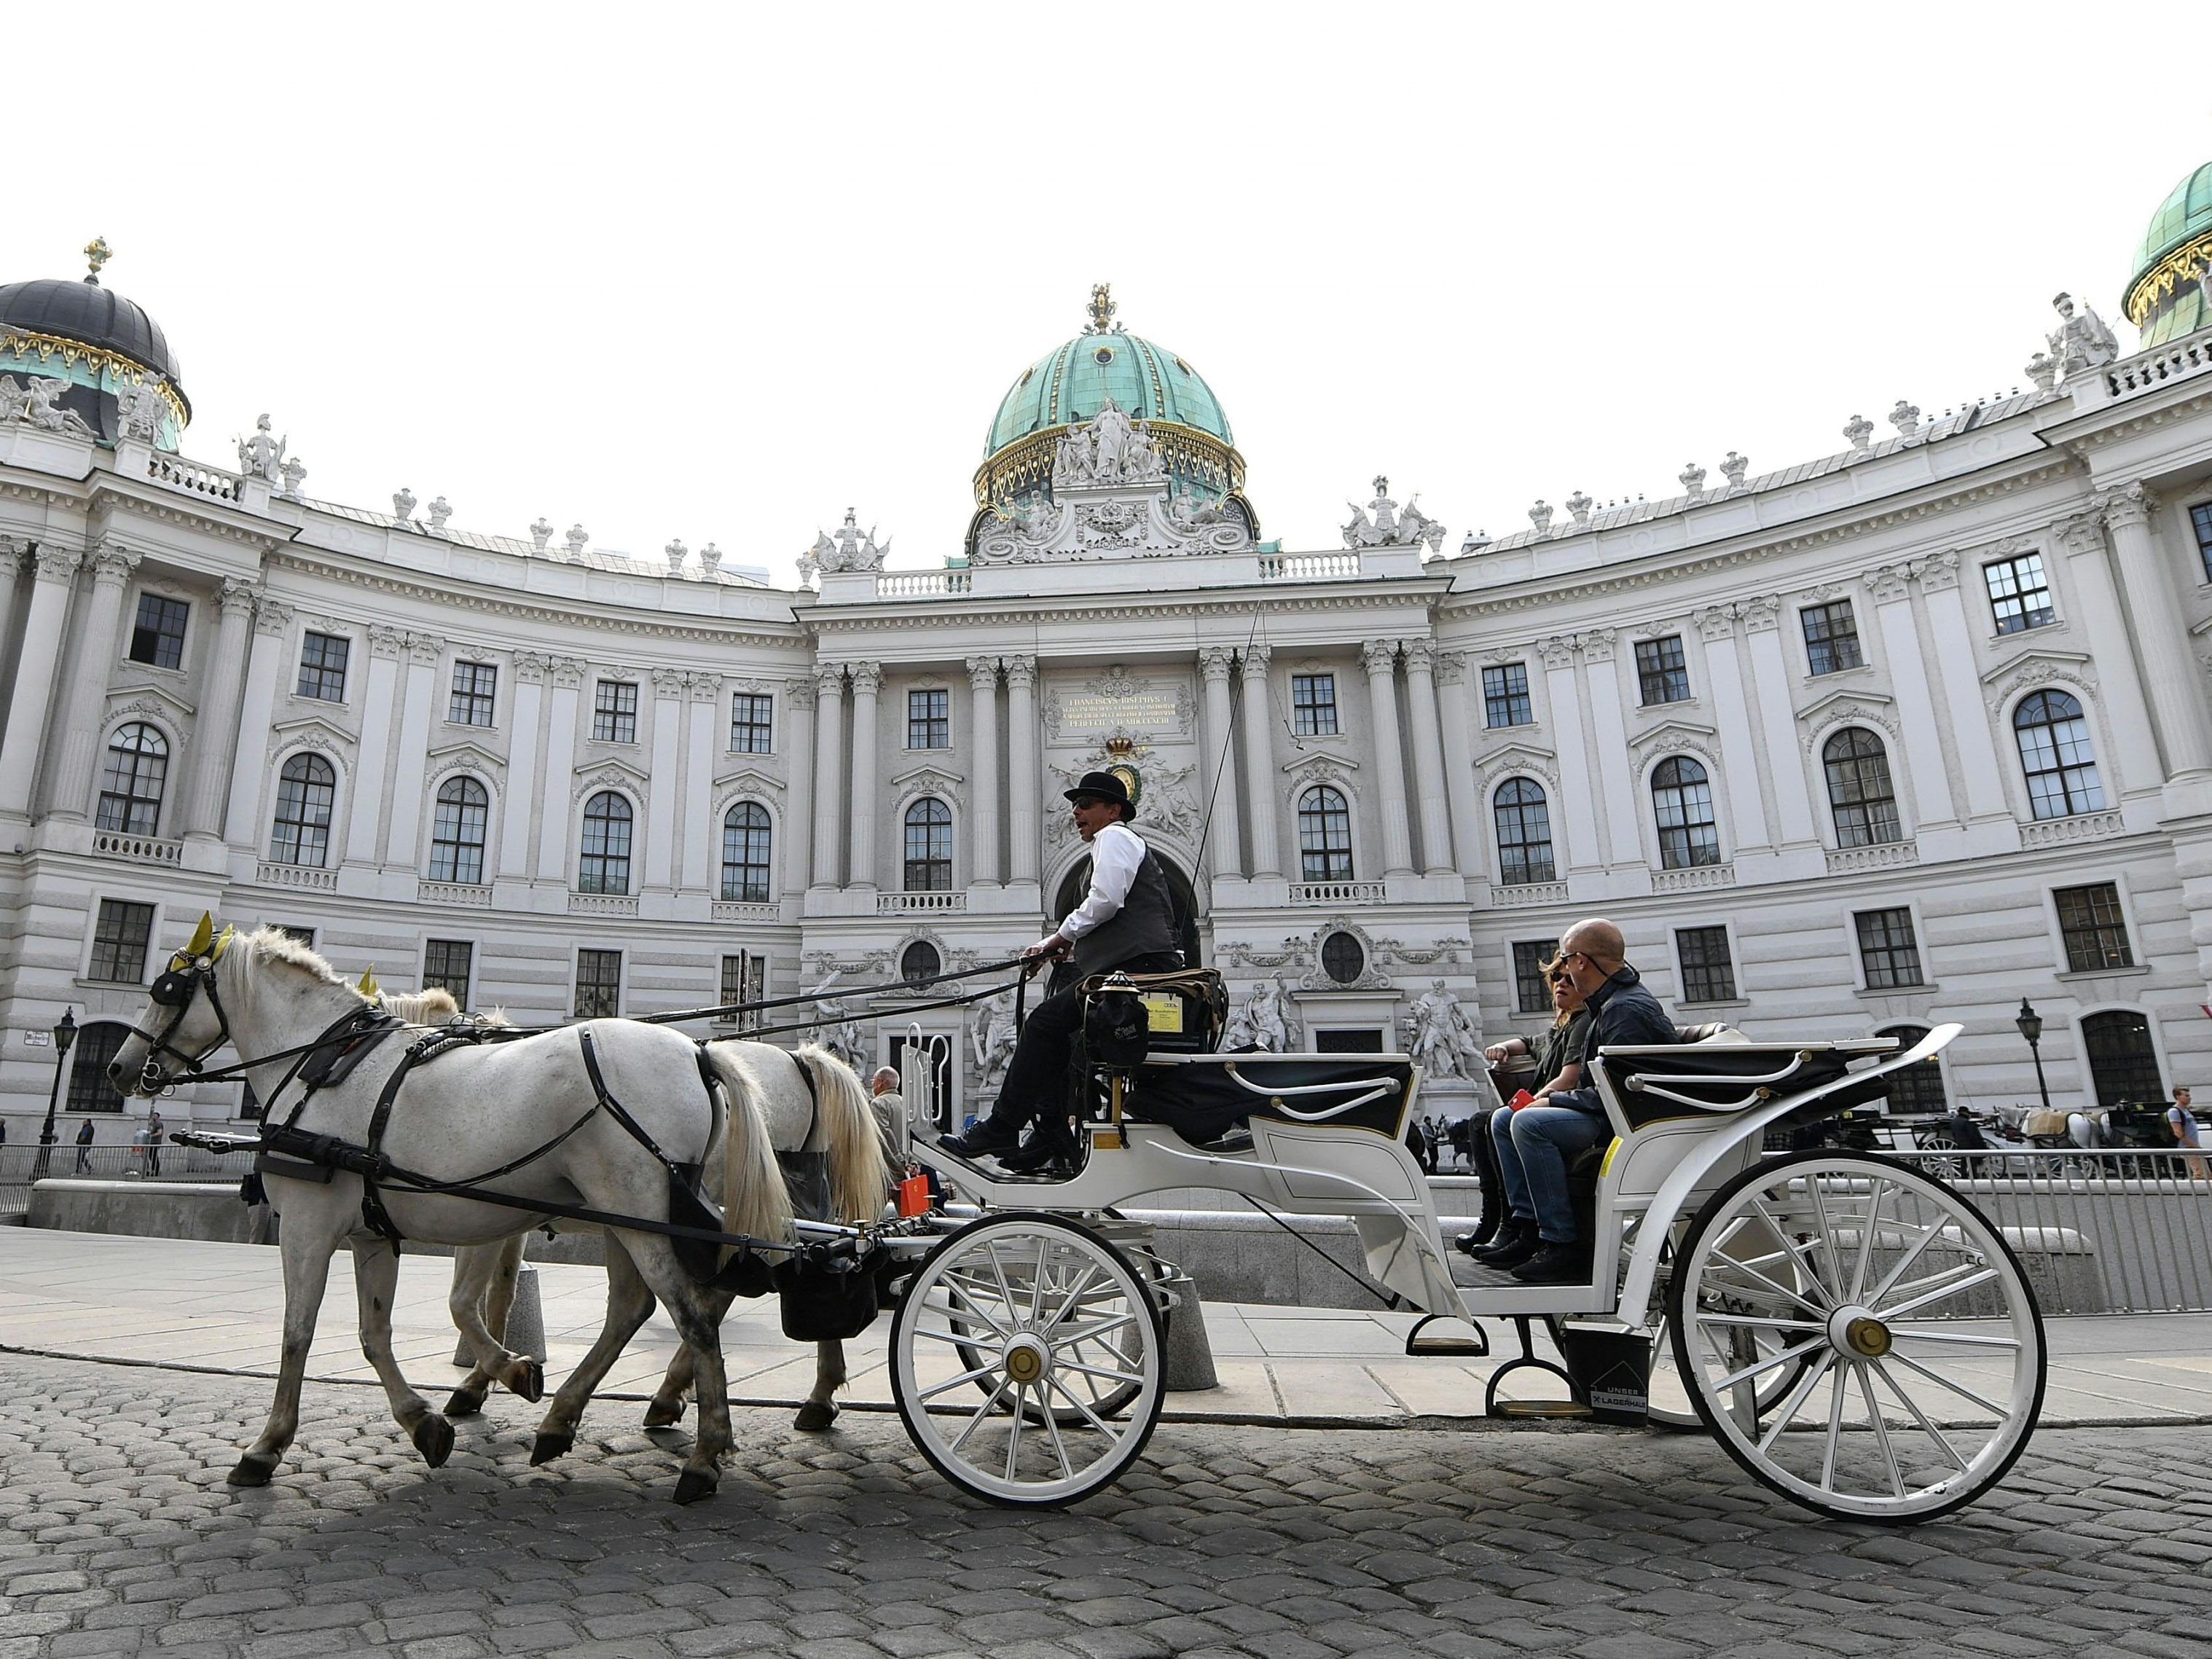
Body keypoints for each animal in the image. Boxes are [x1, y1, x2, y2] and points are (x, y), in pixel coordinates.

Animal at [110, 929, 796, 1513]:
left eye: (165, 989)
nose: (120, 1067)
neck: (326, 1067)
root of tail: (698, 1052)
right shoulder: (374, 1233)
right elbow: (378, 1332)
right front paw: (433, 1418)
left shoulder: (309, 1225)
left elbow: (299, 1332)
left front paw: (266, 1445)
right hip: (632, 1218)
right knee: (636, 1306)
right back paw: (562, 1419)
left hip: (641, 1216)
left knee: (694, 1313)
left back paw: (704, 1455)